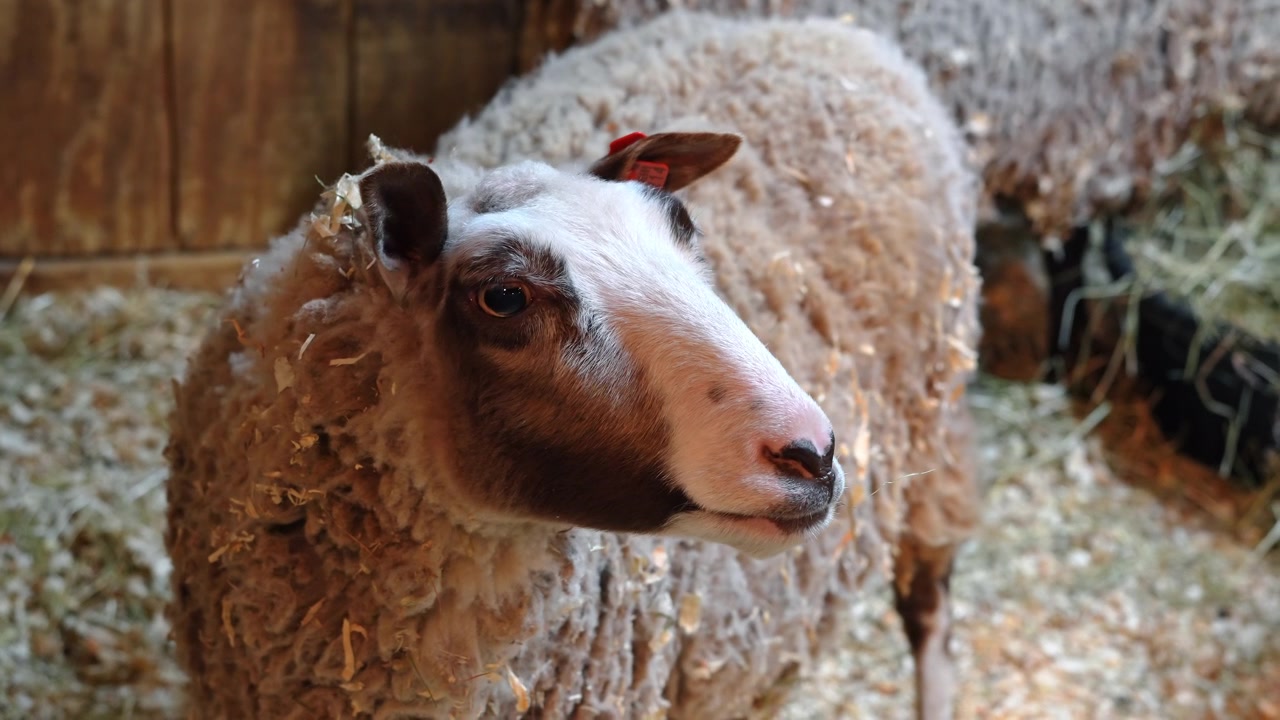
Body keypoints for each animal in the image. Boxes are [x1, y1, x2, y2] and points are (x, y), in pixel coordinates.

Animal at [165, 11, 980, 719]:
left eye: (683, 225)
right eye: (503, 297)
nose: (813, 453)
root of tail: (830, 30)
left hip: (937, 426)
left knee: (930, 609)